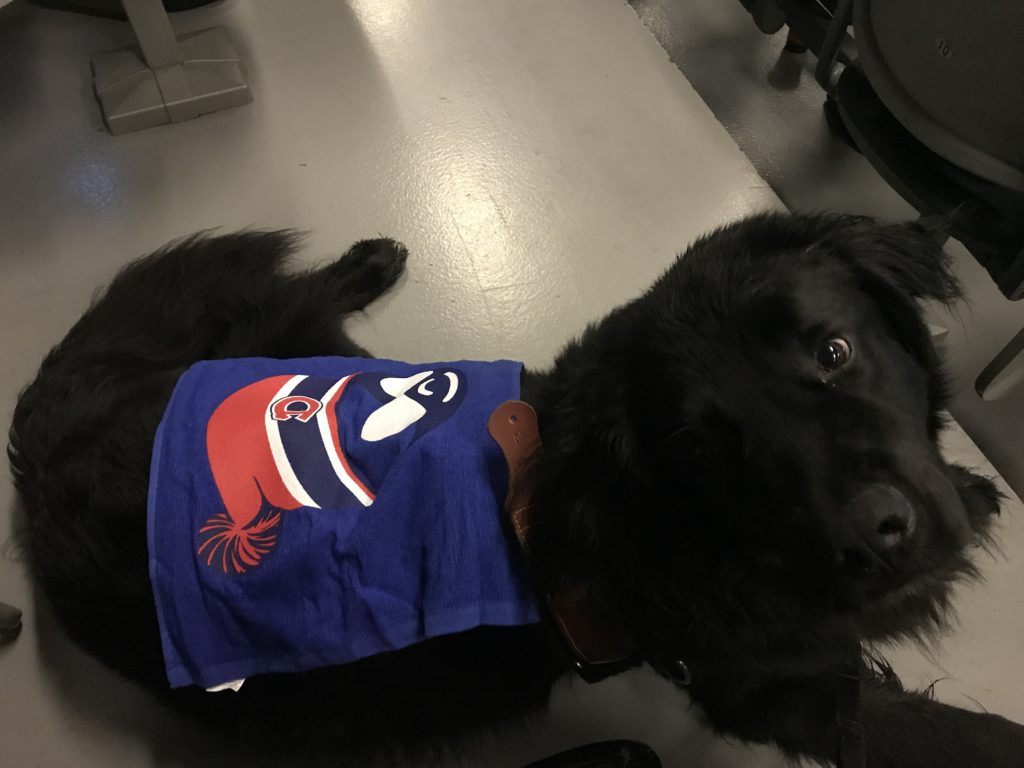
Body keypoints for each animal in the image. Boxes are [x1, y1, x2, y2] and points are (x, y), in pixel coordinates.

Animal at [8, 215, 1024, 768]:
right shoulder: (771, 690)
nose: (876, 534)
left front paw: (973, 487)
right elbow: (945, 733)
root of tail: (41, 444)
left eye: (835, 351)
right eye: (702, 451)